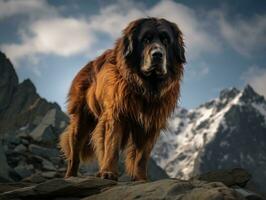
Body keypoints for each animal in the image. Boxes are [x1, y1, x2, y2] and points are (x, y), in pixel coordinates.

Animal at [59, 17, 186, 181]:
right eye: (146, 39)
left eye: (166, 41)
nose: (157, 55)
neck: (145, 87)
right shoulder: (116, 114)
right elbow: (112, 145)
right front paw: (108, 172)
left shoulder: (151, 122)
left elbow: (142, 155)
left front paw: (141, 177)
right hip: (80, 120)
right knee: (74, 153)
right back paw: (70, 176)